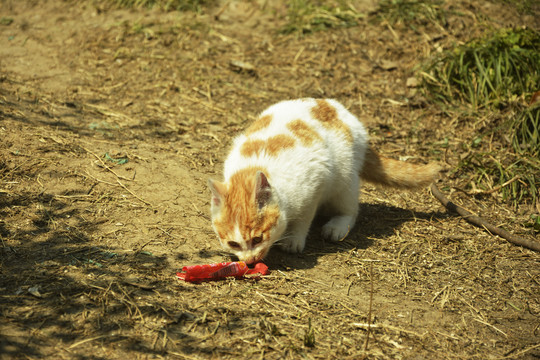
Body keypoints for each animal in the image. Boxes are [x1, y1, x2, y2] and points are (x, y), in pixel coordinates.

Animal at [207, 98, 438, 264]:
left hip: (345, 180)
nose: (249, 261)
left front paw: (294, 239)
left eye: (257, 239)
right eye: (233, 244)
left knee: (350, 210)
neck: (252, 167)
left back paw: (337, 226)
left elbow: (304, 218)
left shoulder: (315, 183)